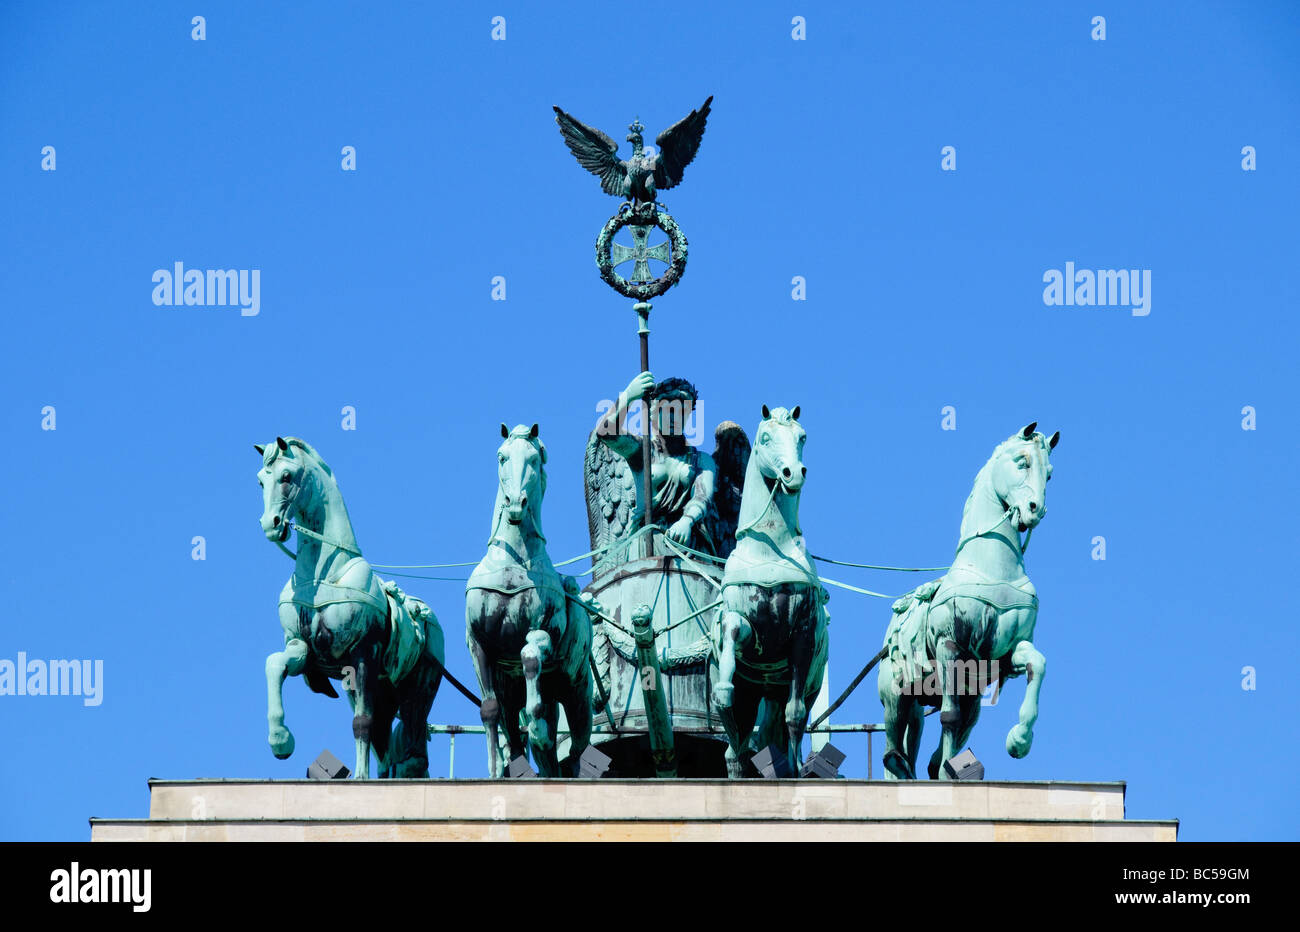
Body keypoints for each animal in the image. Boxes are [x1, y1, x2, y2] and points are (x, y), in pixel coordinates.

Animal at [256, 436, 444, 779]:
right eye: (261, 480)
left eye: (286, 477)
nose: (270, 525)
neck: (324, 574)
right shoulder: (301, 647)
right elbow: (274, 663)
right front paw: (280, 739)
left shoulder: (363, 656)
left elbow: (361, 722)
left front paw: (359, 777)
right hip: (378, 693)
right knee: (385, 744)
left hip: (417, 690)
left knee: (408, 740)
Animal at [467, 426, 595, 774]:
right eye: (502, 457)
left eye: (535, 459)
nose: (514, 503)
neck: (512, 563)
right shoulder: (478, 644)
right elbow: (489, 709)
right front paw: (495, 771)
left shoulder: (543, 630)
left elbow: (529, 653)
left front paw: (537, 726)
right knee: (522, 740)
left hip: (578, 699)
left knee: (574, 751)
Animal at [712, 408, 821, 779]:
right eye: (765, 437)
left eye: (803, 436)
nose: (794, 473)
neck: (770, 549)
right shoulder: (747, 626)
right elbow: (733, 630)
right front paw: (722, 690)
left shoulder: (803, 634)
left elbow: (795, 714)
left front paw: (795, 770)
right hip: (752, 694)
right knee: (735, 749)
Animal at [878, 421, 1060, 779]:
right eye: (1021, 462)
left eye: (1049, 474)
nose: (1035, 510)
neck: (992, 569)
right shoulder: (949, 645)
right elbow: (948, 717)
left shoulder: (1005, 654)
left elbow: (1038, 664)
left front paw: (1020, 739)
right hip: (897, 691)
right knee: (894, 743)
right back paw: (899, 767)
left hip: (970, 697)